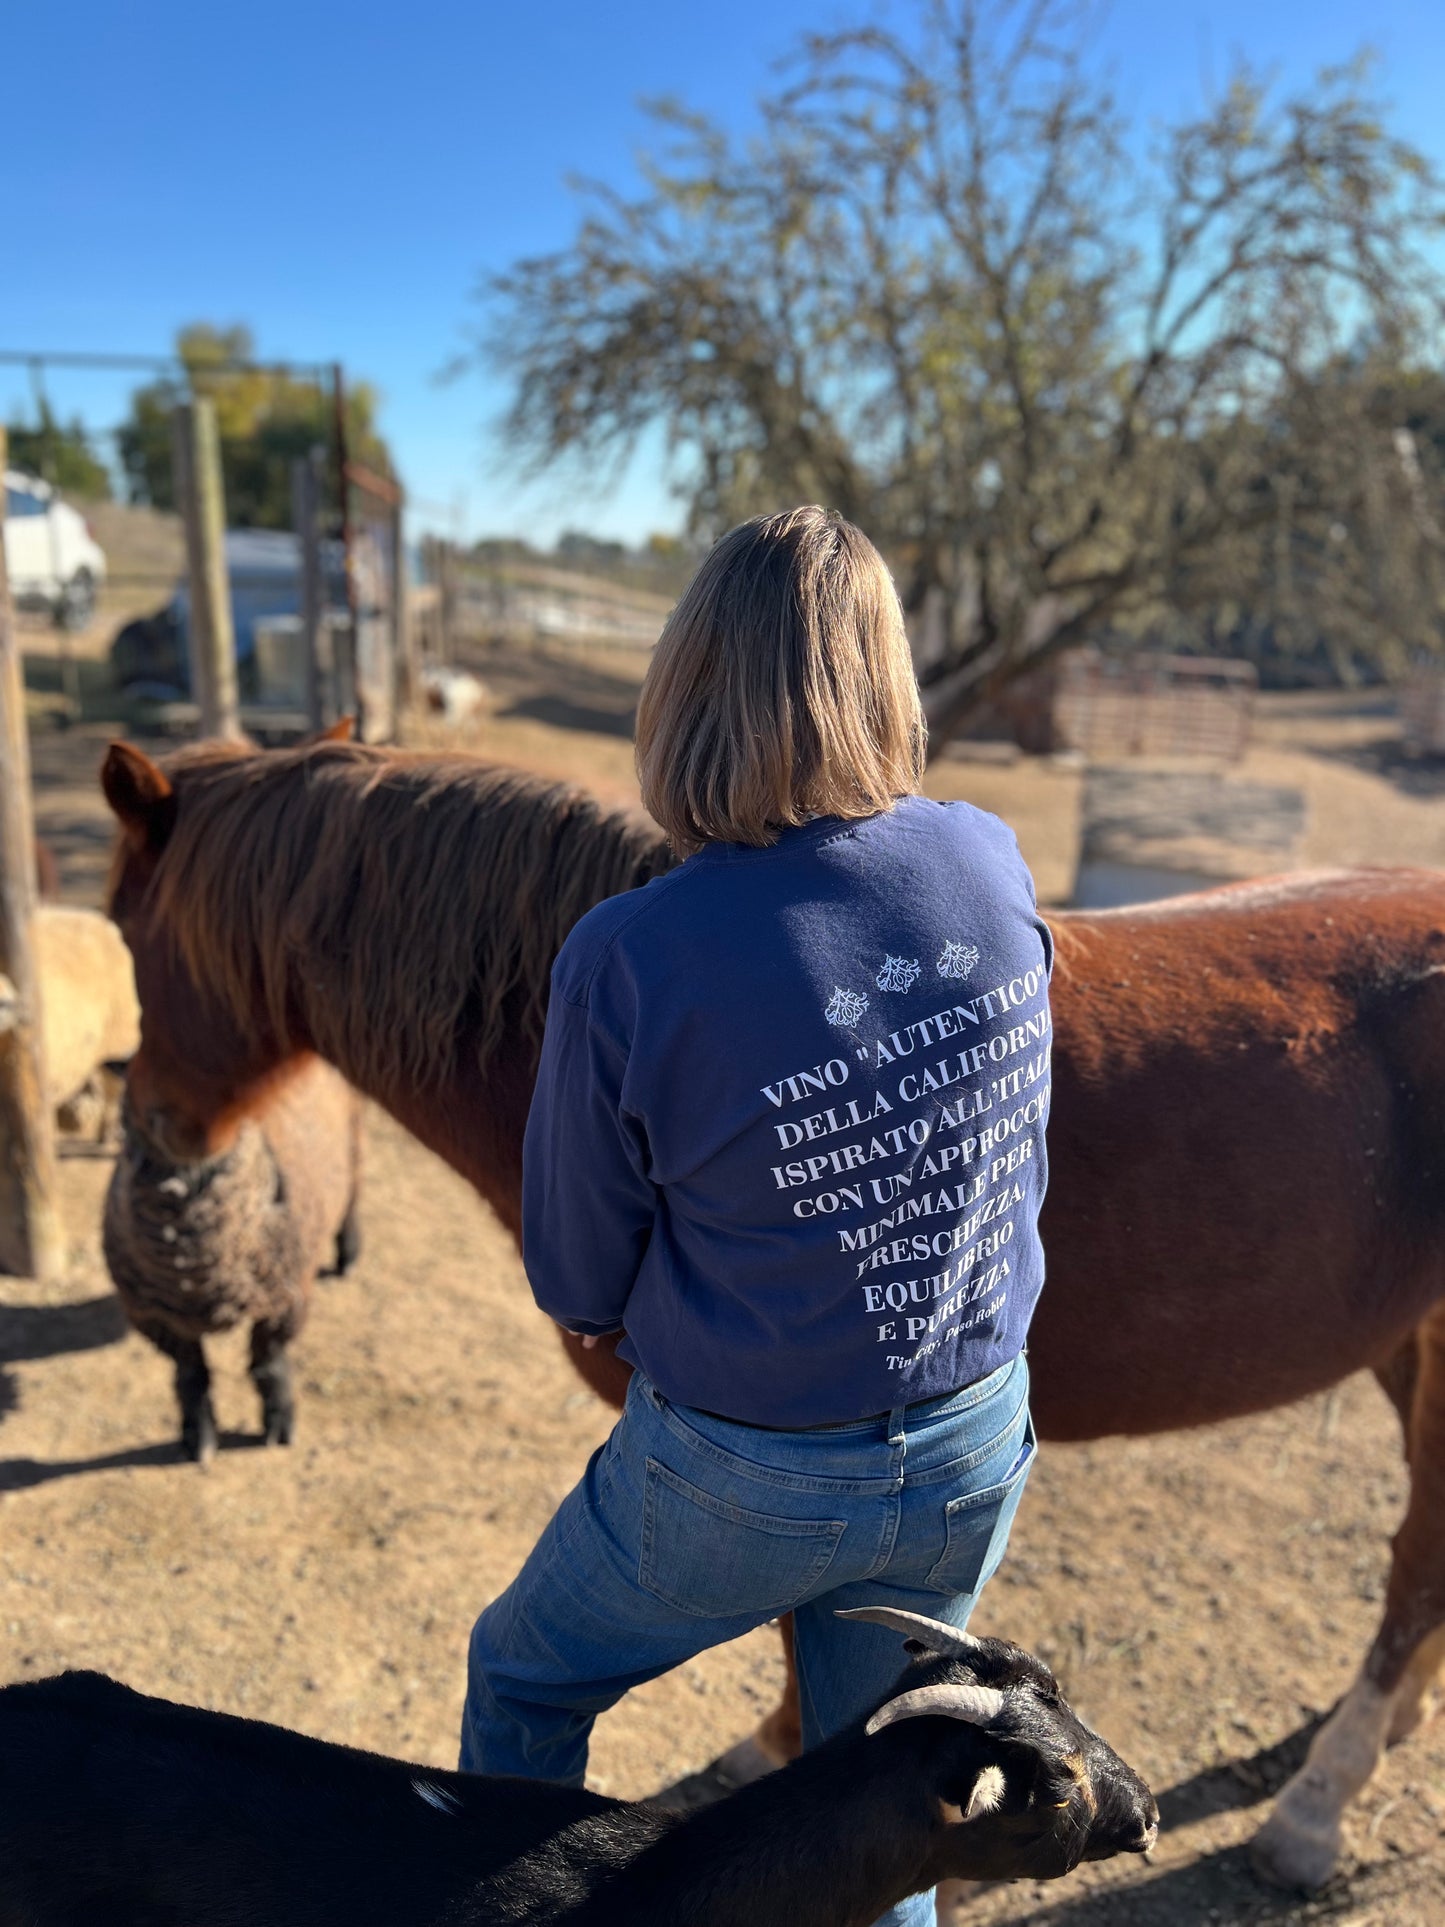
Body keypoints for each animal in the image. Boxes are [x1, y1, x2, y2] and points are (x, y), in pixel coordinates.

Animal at [102, 1055, 362, 1456]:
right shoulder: (153, 1316)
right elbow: (191, 1375)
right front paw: (199, 1436)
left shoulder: (285, 1301)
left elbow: (269, 1363)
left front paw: (279, 1422)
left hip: (353, 1131)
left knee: (352, 1195)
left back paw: (348, 1254)